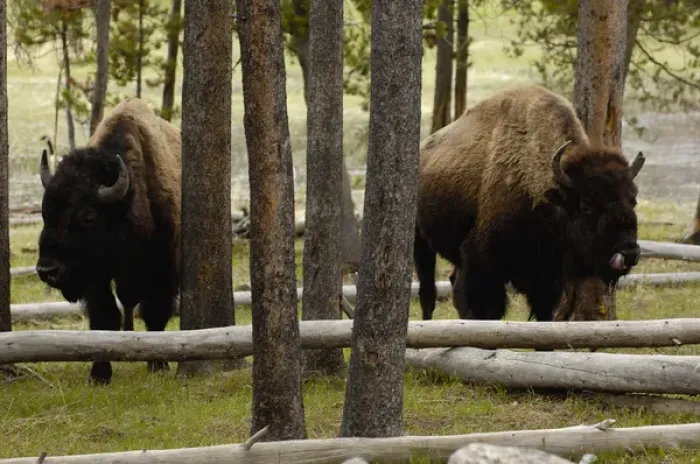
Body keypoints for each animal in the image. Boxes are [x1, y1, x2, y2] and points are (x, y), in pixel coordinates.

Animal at [36, 98, 182, 385]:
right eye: (45, 211)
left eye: (88, 216)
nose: (47, 270)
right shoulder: (96, 278)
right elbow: (104, 318)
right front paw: (99, 375)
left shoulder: (162, 269)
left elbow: (155, 313)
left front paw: (158, 364)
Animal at [415, 85, 644, 322]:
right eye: (586, 206)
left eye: (633, 199)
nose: (628, 252)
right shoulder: (483, 264)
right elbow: (487, 311)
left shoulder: (547, 278)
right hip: (420, 241)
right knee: (428, 291)